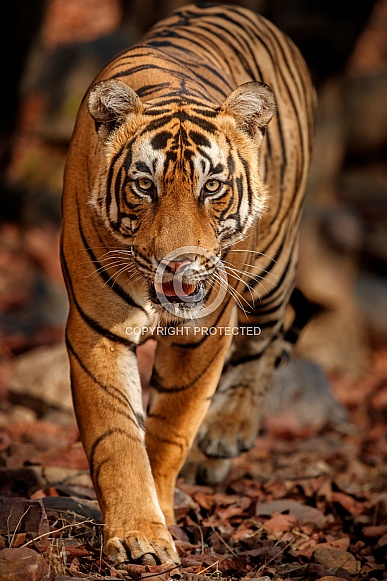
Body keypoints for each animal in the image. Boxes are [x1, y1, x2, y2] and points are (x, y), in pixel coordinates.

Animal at [60, 2, 316, 568]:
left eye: (212, 187)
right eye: (144, 185)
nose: (178, 265)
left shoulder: (204, 335)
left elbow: (170, 430)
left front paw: (161, 512)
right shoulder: (97, 331)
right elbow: (118, 437)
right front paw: (139, 535)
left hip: (271, 269)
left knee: (270, 335)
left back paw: (227, 433)